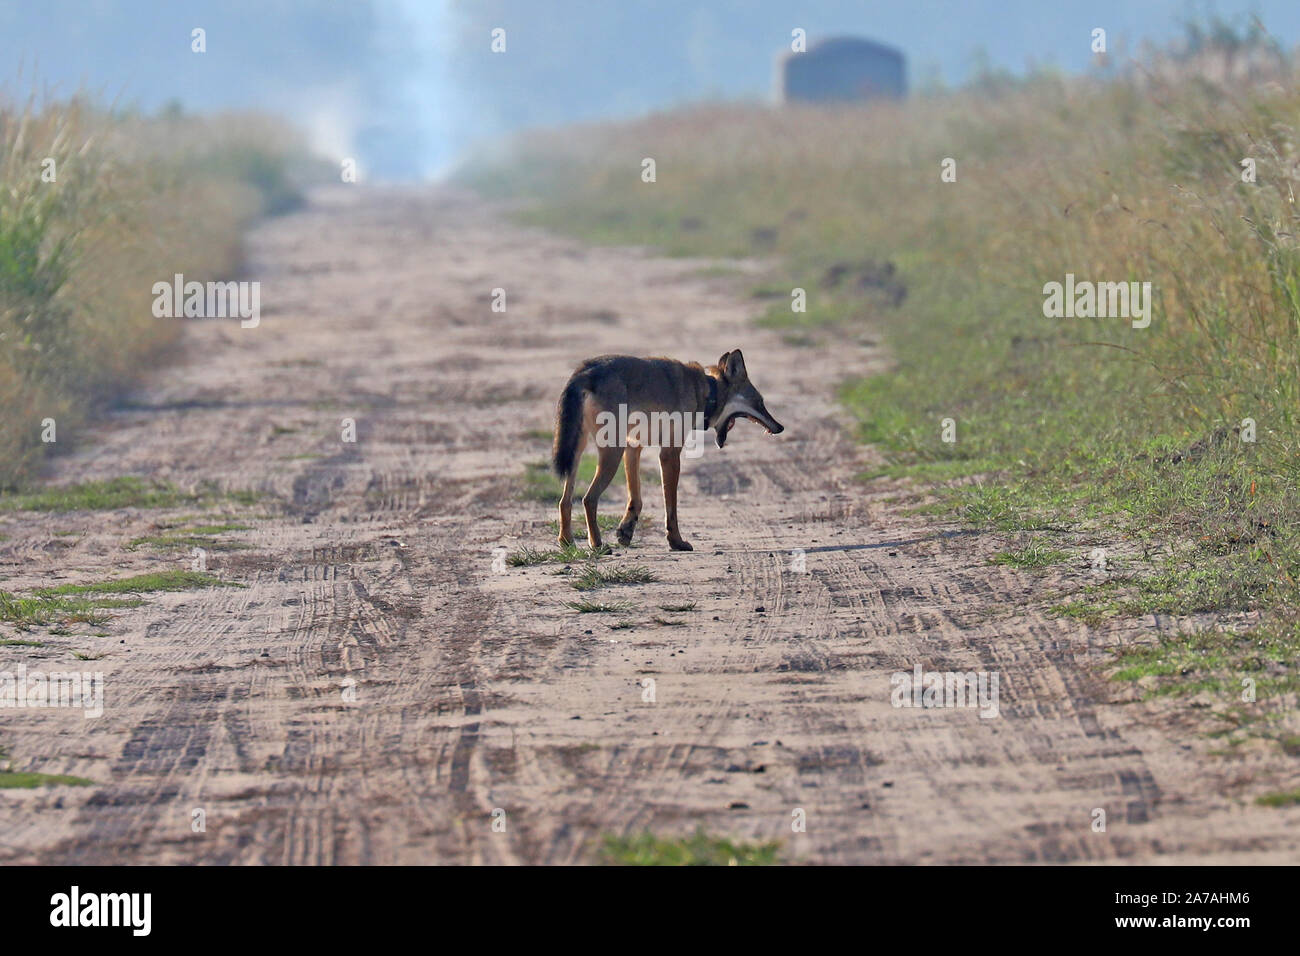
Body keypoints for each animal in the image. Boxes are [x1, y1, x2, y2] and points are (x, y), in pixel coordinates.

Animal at [551, 350, 784, 551]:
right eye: (760, 403)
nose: (780, 427)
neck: (705, 391)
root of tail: (585, 370)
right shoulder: (669, 453)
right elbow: (671, 507)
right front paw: (676, 542)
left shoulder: (633, 446)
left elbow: (636, 499)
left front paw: (626, 531)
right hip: (611, 455)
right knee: (588, 499)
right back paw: (597, 545)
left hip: (579, 454)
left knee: (565, 502)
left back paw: (567, 542)